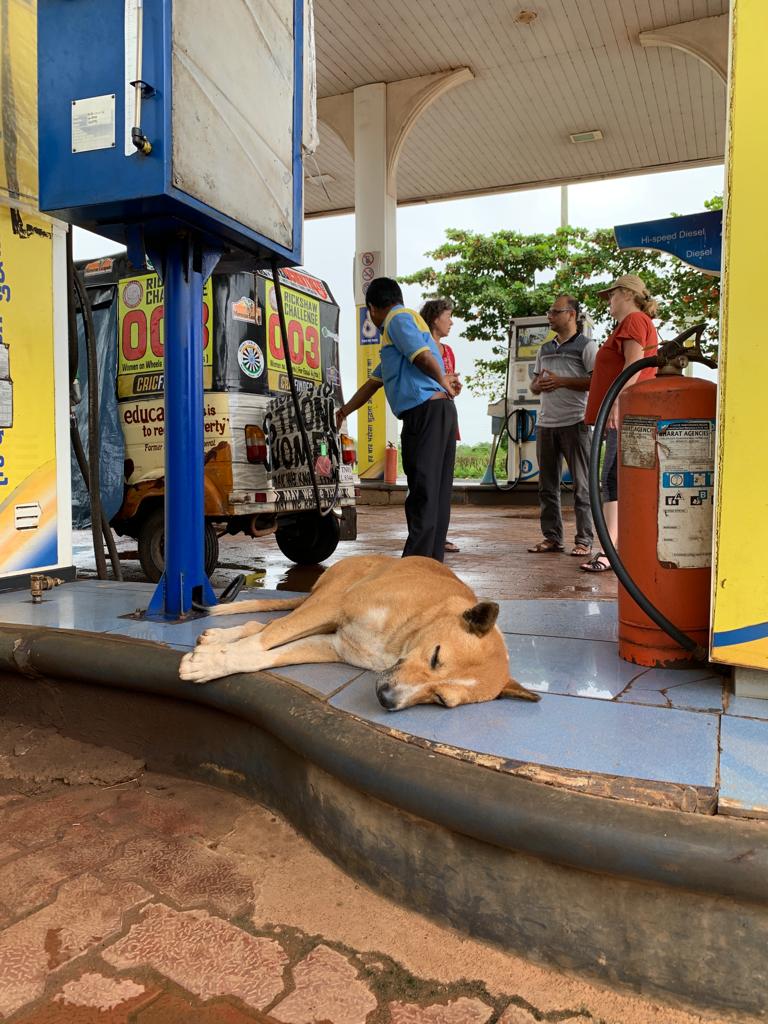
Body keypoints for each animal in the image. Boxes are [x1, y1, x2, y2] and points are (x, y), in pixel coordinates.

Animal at [180, 552, 540, 712]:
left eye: (440, 699)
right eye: (436, 657)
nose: (386, 699)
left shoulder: (331, 644)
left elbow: (263, 655)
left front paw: (216, 660)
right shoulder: (335, 608)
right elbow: (265, 640)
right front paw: (209, 661)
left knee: (263, 625)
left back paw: (217, 638)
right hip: (323, 601)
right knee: (270, 625)